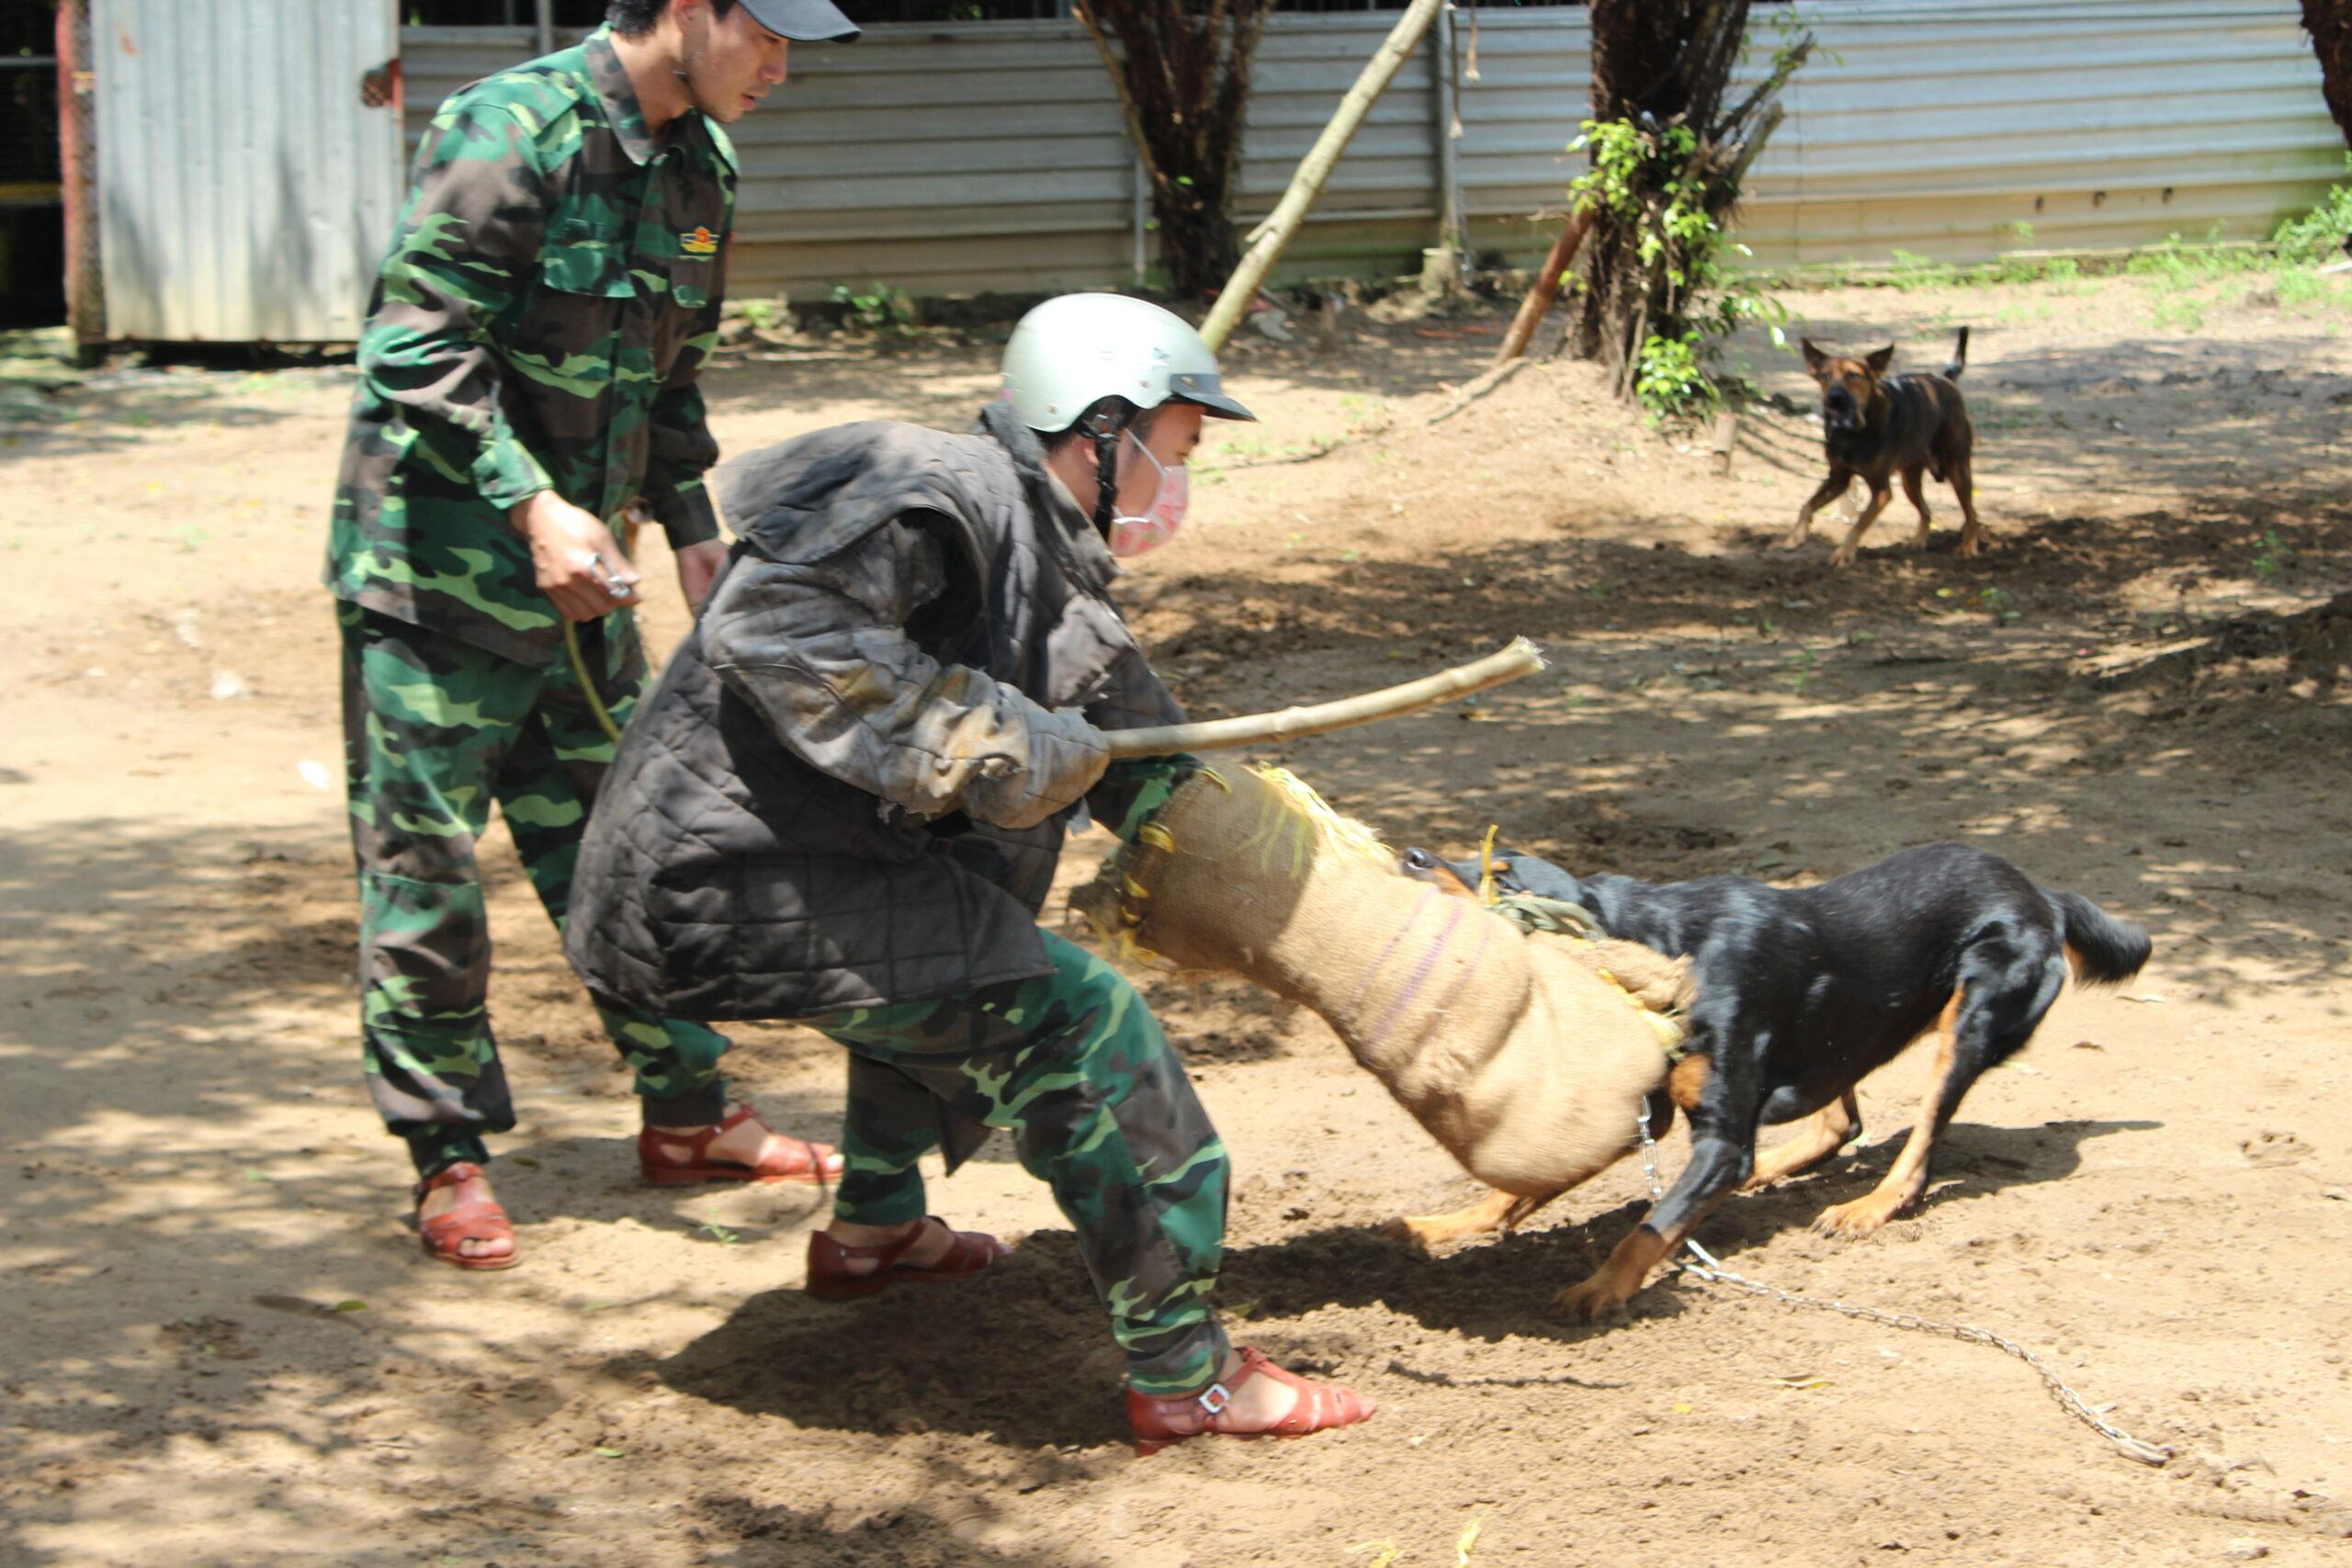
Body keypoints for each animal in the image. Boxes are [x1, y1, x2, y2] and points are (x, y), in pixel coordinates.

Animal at [1787, 329, 1975, 573]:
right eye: (1824, 376)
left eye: (1854, 375)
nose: (1833, 399)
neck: (1853, 432)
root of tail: (1944, 379)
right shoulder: (1838, 478)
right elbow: (1807, 505)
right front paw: (1796, 536)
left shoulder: (1881, 490)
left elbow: (1859, 523)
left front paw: (1844, 554)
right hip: (1909, 480)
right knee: (1926, 511)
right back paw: (1918, 541)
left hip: (1958, 470)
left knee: (1972, 514)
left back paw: (1968, 547)